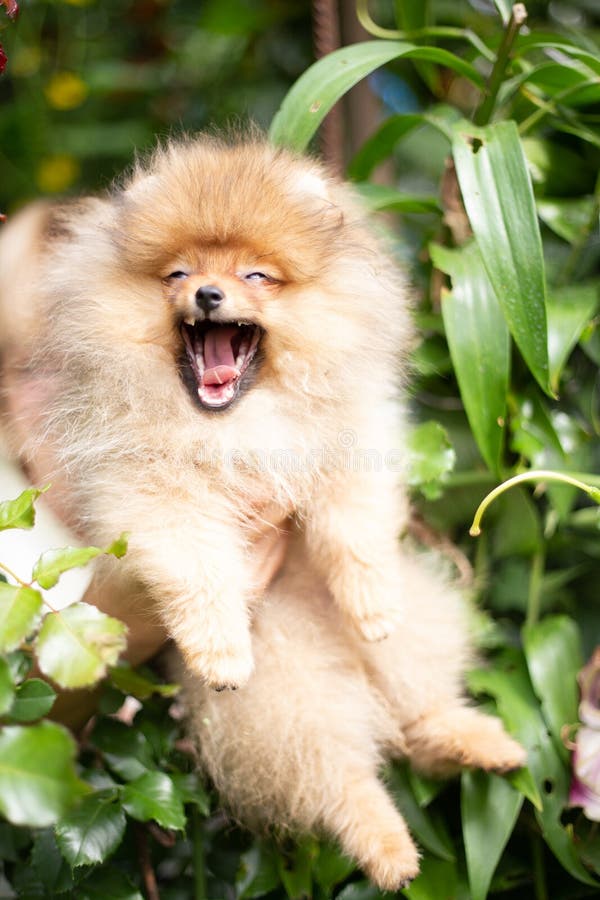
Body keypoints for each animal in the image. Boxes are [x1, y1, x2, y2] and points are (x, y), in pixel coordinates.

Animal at [0, 132, 524, 884]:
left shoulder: (349, 443)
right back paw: (391, 849)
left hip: (400, 642)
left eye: (256, 275)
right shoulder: (151, 486)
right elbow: (197, 567)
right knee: (334, 773)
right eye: (178, 272)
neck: (237, 419)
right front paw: (219, 649)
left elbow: (356, 529)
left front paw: (371, 601)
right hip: (283, 692)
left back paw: (468, 739)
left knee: (413, 701)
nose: (208, 292)